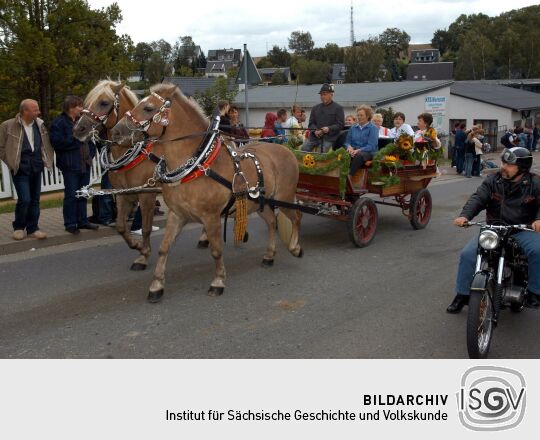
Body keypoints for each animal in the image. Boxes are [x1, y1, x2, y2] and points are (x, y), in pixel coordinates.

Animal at [74, 80, 162, 270]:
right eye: (86, 103)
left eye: (104, 103)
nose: (78, 129)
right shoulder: (123, 193)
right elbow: (121, 226)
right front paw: (137, 246)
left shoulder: (147, 195)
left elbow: (146, 227)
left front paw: (143, 256)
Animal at [111, 82, 302, 302]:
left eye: (148, 108)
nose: (116, 132)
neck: (198, 164)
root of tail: (286, 150)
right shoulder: (177, 215)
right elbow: (164, 248)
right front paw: (156, 285)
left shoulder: (211, 217)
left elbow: (216, 251)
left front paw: (218, 281)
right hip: (259, 203)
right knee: (272, 222)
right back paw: (269, 255)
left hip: (284, 197)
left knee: (296, 217)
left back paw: (295, 248)